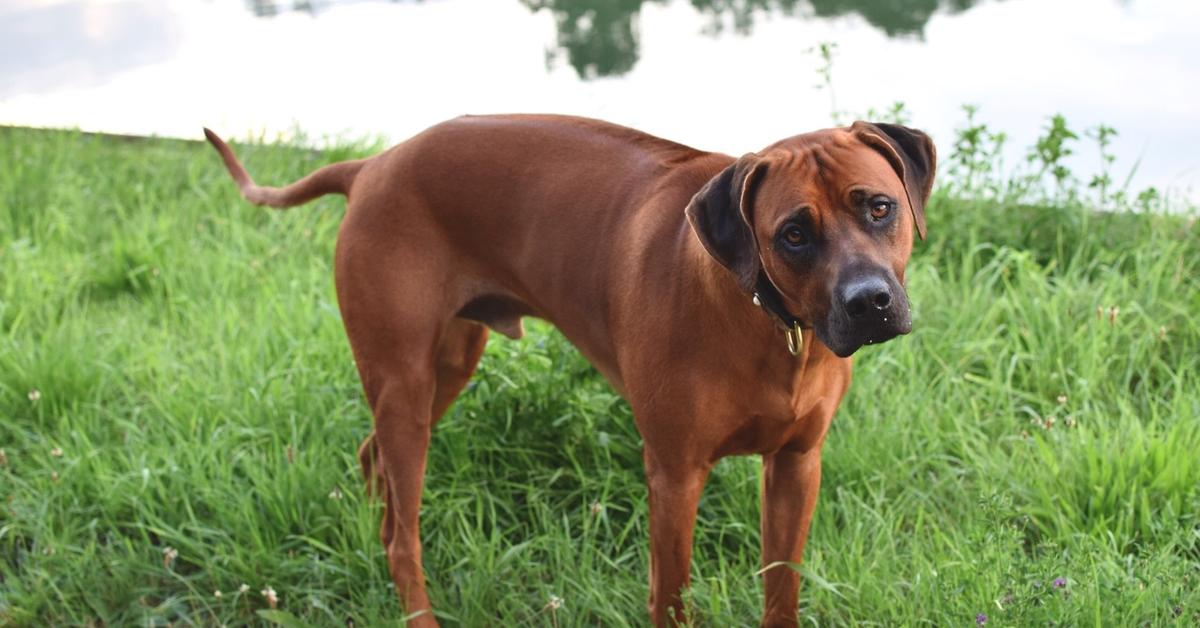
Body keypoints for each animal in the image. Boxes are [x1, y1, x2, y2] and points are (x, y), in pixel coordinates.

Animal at [206, 115, 936, 624]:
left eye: (879, 206)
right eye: (794, 234)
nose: (869, 302)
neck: (767, 318)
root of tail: (372, 165)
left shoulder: (796, 464)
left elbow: (782, 590)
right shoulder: (674, 475)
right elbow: (671, 598)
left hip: (447, 366)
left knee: (372, 459)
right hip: (406, 384)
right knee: (401, 538)